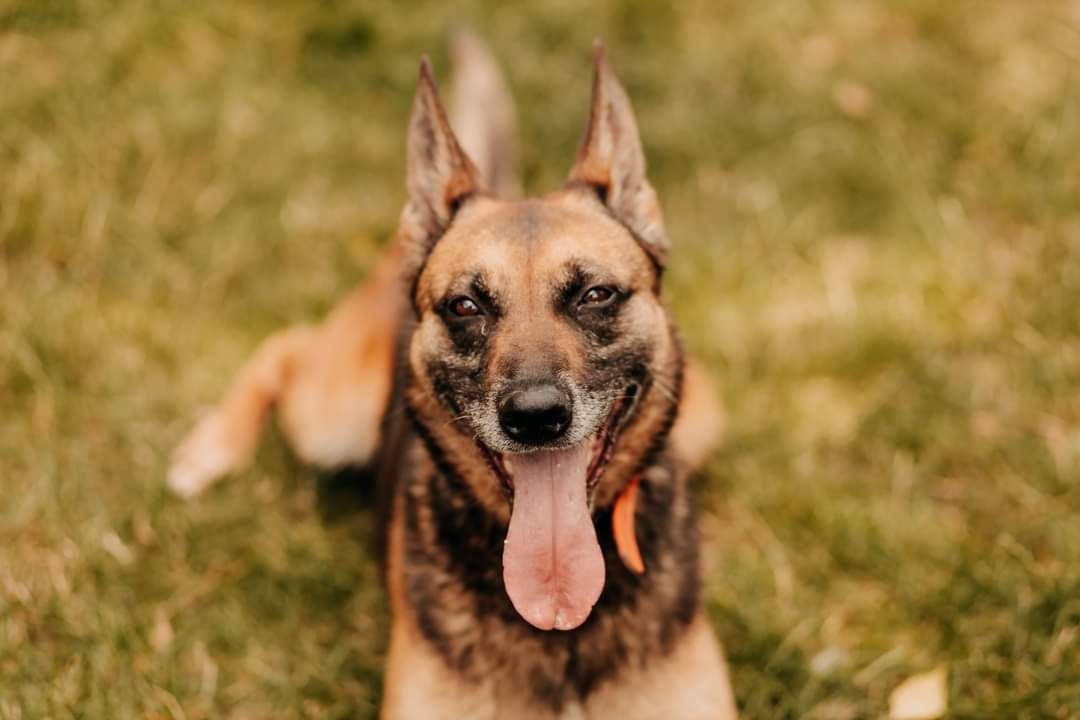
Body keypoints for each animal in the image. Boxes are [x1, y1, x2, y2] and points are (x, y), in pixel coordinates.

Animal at [170, 35, 743, 720]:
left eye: (596, 295)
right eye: (465, 306)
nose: (534, 417)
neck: (560, 621)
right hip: (331, 415)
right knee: (285, 347)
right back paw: (210, 448)